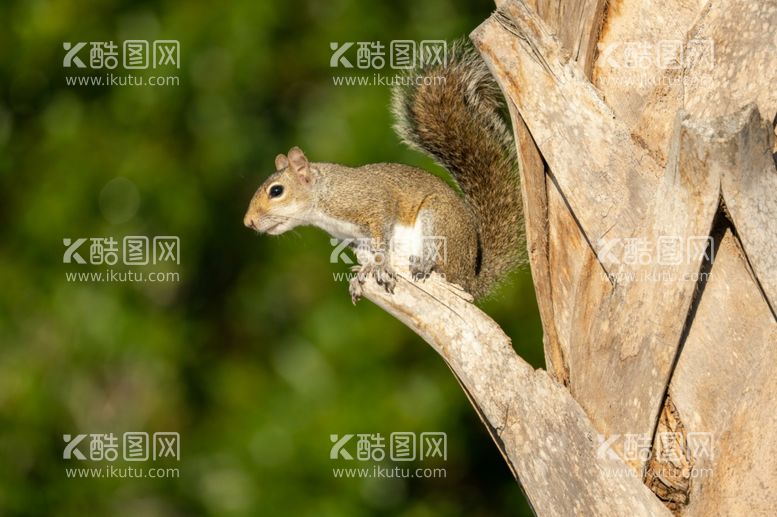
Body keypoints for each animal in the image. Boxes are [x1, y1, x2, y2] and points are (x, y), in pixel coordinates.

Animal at [246, 41, 524, 302]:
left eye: (276, 191)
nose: (248, 223)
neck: (323, 199)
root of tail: (471, 280)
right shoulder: (356, 238)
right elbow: (370, 254)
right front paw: (363, 272)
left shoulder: (372, 203)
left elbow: (382, 231)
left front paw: (379, 267)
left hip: (439, 221)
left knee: (444, 267)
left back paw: (427, 264)